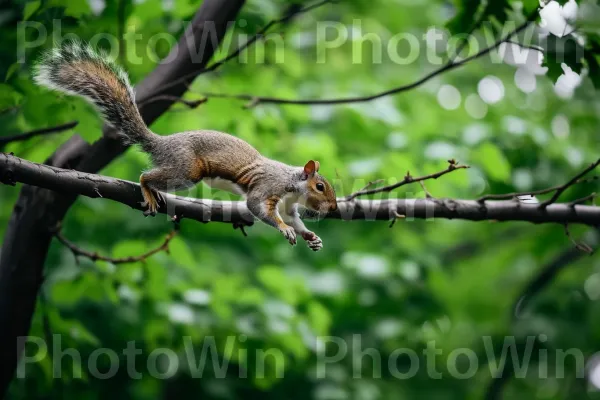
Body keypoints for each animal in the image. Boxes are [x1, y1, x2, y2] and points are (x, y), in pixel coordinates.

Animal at [34, 42, 338, 252]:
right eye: (320, 186)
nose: (334, 208)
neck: (292, 184)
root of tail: (161, 143)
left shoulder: (288, 206)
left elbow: (295, 220)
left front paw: (310, 236)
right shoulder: (268, 187)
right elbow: (257, 207)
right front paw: (284, 229)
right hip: (186, 170)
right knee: (146, 175)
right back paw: (147, 189)